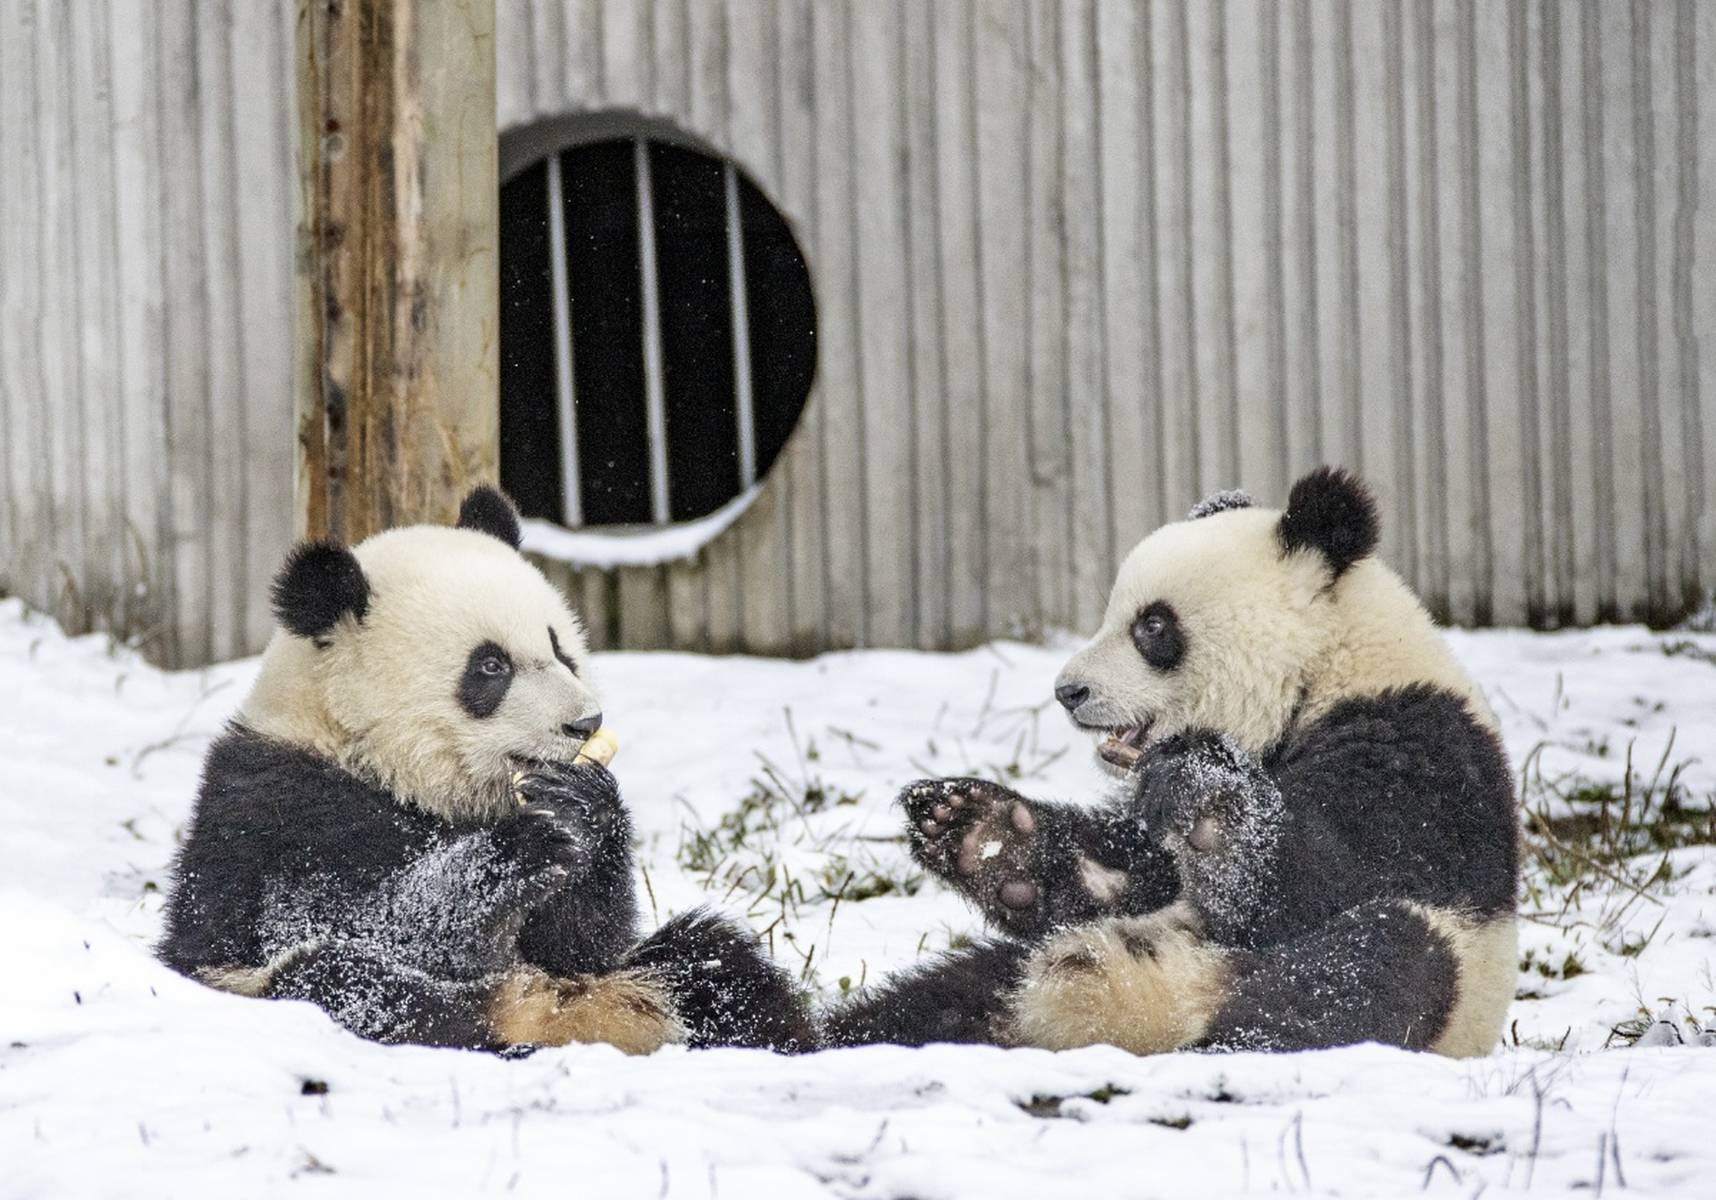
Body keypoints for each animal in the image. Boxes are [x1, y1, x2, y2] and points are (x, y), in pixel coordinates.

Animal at [159, 485, 811, 1054]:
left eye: (559, 648)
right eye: (490, 666)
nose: (586, 723)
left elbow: (585, 945)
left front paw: (584, 805)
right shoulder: (284, 808)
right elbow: (351, 919)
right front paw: (519, 850)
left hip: (649, 981)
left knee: (717, 967)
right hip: (259, 985)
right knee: (350, 983)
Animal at [824, 467, 1518, 1057]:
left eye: (1152, 627)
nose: (1068, 691)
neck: (1328, 668)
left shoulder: (1420, 750)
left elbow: (1328, 878)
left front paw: (1210, 803)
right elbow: (1130, 877)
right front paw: (979, 830)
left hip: (1448, 987)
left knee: (1375, 965)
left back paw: (1225, 1047)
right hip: (1012, 978)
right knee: (935, 1000)